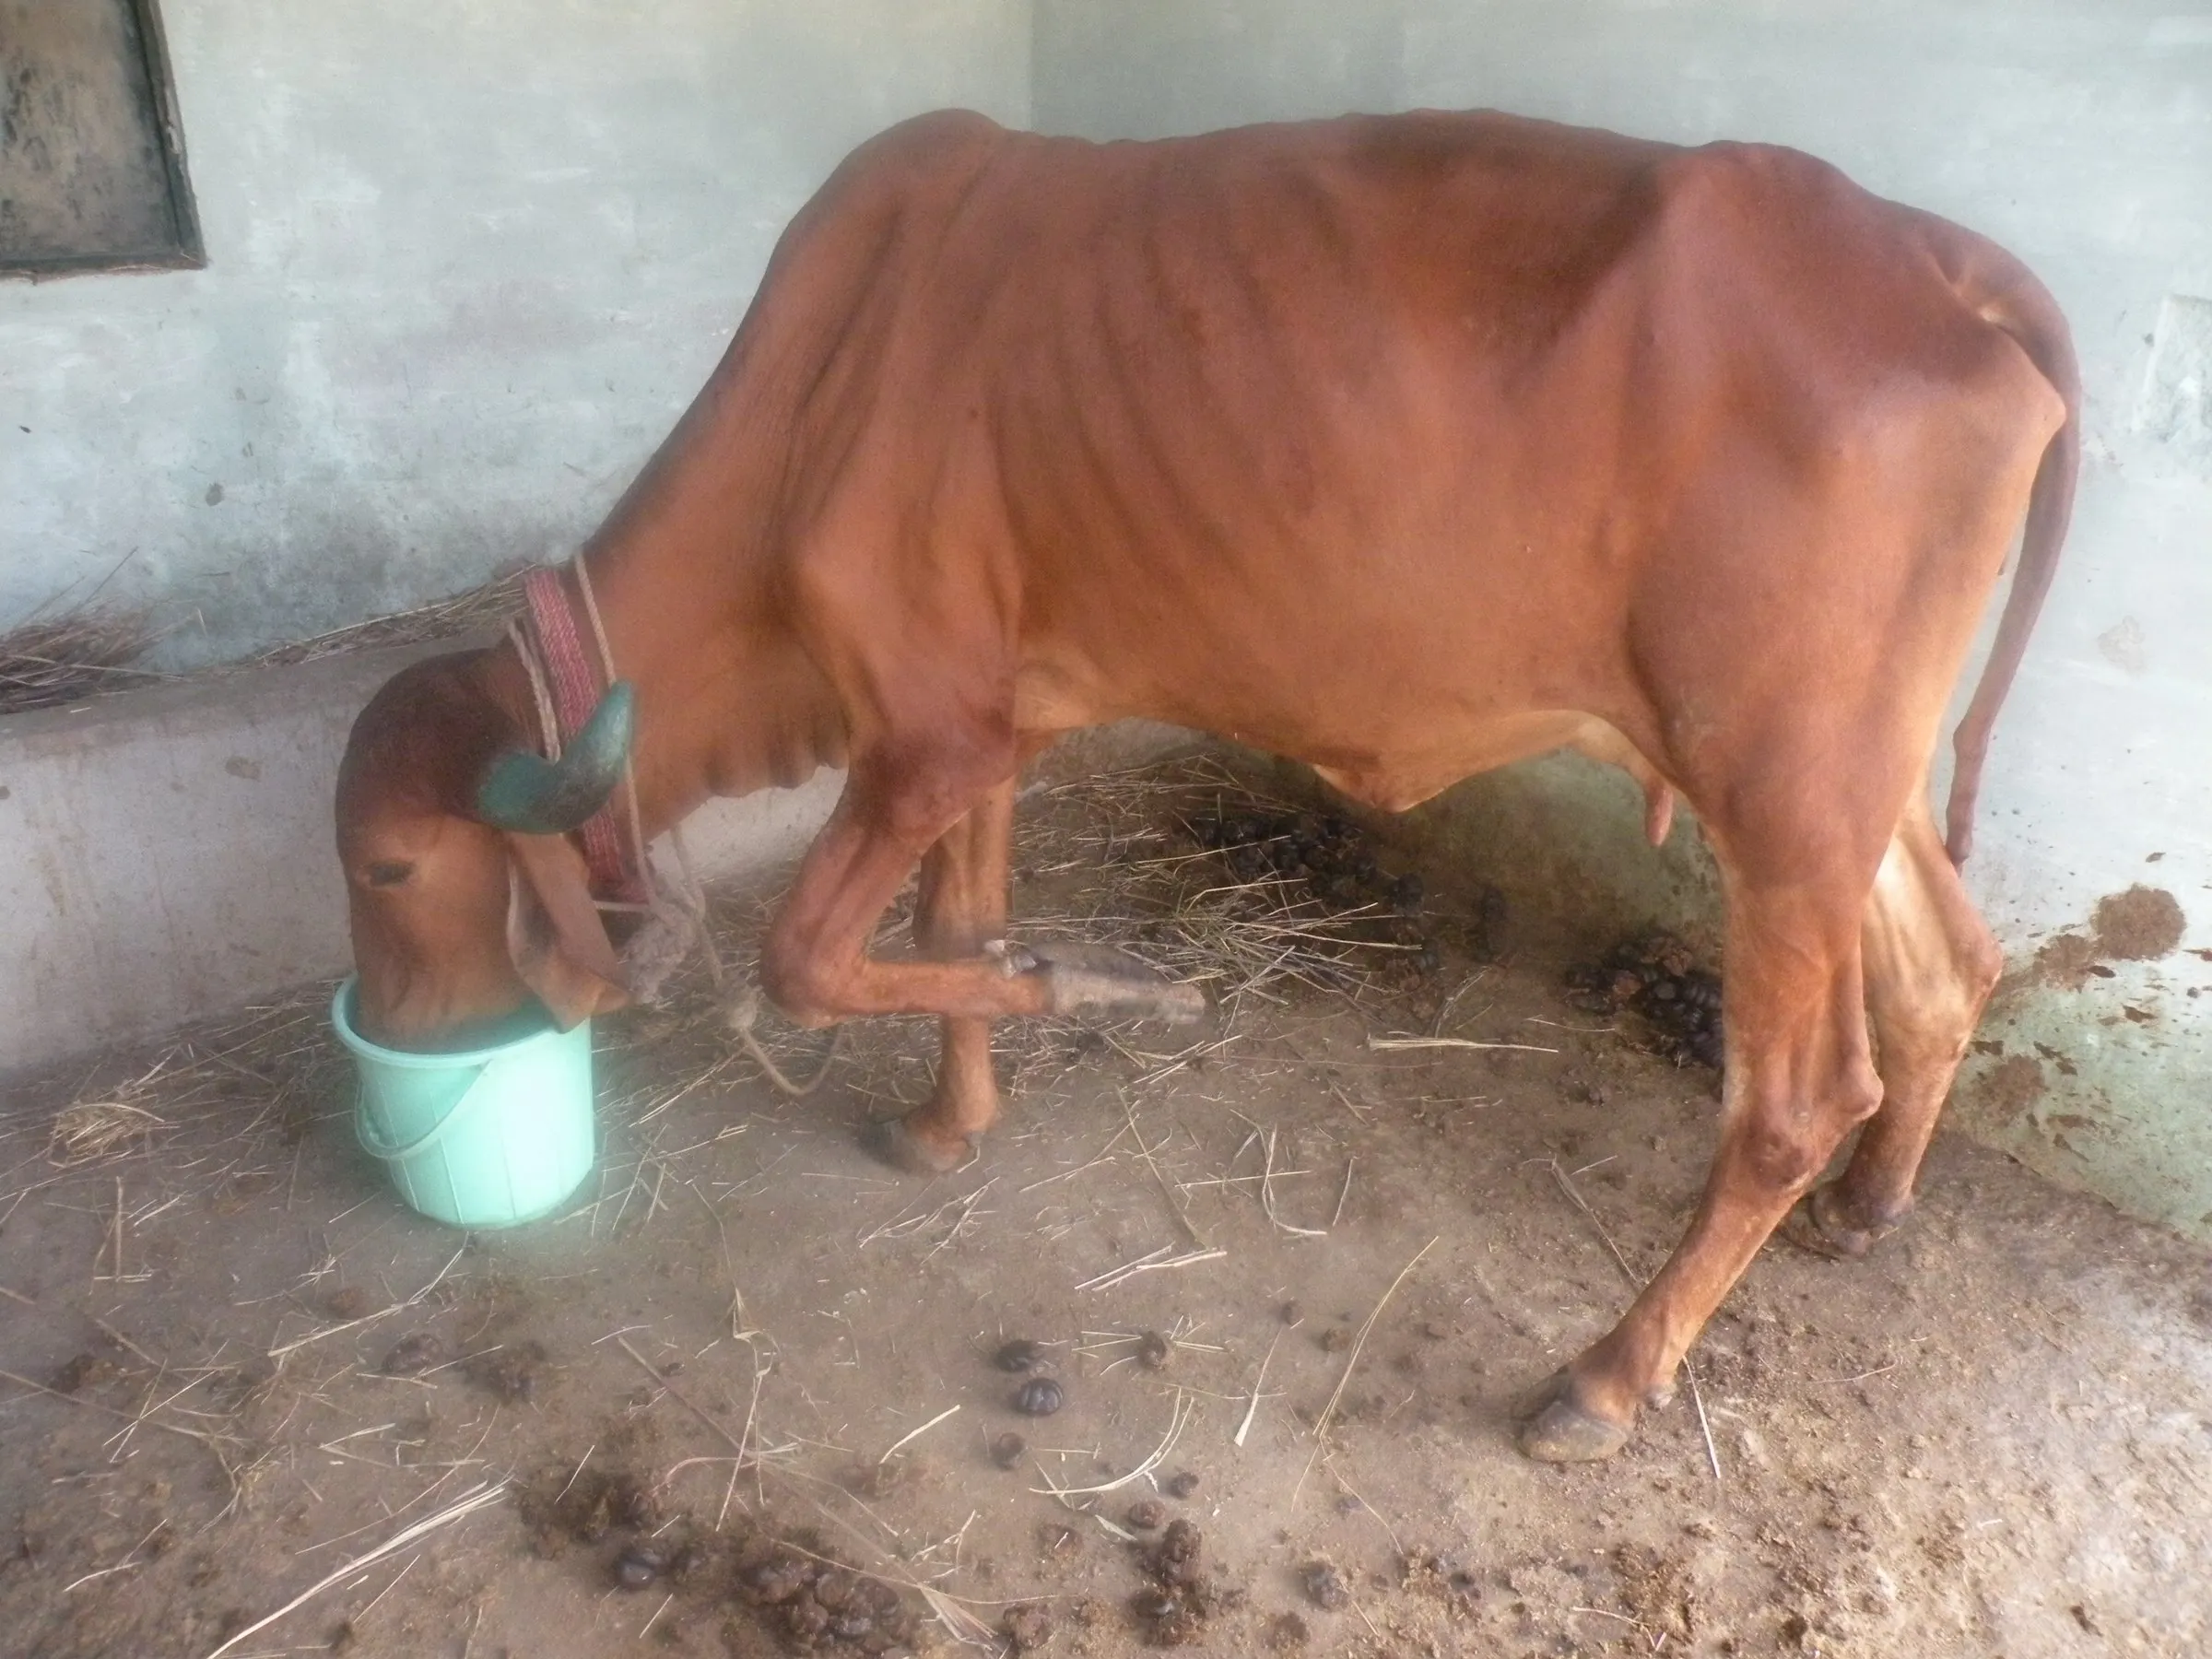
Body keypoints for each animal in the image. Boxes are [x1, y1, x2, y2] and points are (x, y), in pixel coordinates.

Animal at [335, 107, 2077, 1463]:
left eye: (387, 870)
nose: (405, 1037)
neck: (817, 402)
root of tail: (1944, 261)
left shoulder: (921, 734)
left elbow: (816, 959)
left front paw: (1107, 982)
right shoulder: (982, 724)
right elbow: (952, 927)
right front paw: (953, 1120)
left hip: (1776, 789)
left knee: (1792, 1103)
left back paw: (1604, 1376)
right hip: (1853, 789)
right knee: (1949, 968)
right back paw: (1870, 1210)